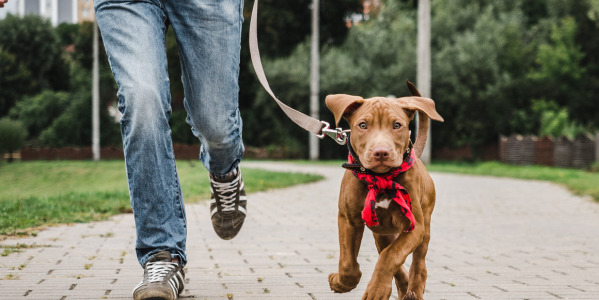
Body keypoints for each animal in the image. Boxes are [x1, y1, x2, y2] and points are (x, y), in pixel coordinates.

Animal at [326, 82, 442, 300]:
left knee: (418, 262)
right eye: (363, 125)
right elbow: (348, 263)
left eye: (397, 125)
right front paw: (340, 282)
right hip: (382, 233)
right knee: (391, 257)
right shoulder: (348, 220)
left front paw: (376, 290)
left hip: (425, 224)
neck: (380, 178)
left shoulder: (414, 227)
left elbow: (391, 256)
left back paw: (414, 291)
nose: (381, 152)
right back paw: (404, 289)